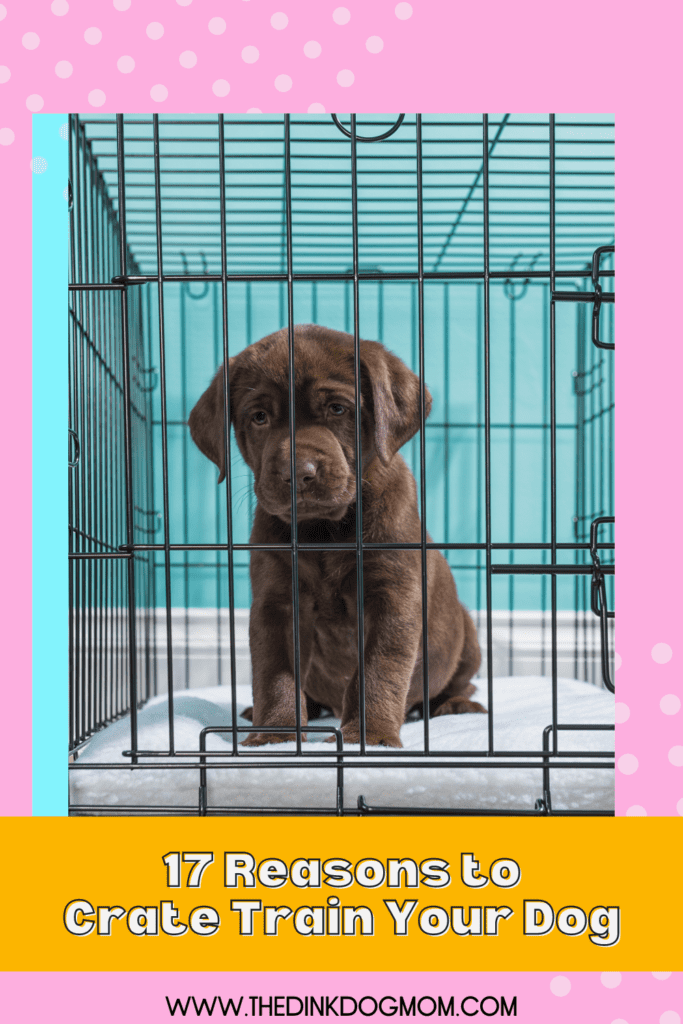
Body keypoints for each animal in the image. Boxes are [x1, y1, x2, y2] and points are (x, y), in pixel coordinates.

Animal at [189, 323, 483, 749]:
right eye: (259, 417)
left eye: (338, 409)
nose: (299, 472)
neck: (325, 530)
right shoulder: (277, 600)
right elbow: (275, 673)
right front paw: (275, 734)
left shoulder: (391, 597)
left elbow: (377, 671)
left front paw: (370, 735)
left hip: (467, 636)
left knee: (458, 682)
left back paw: (454, 705)